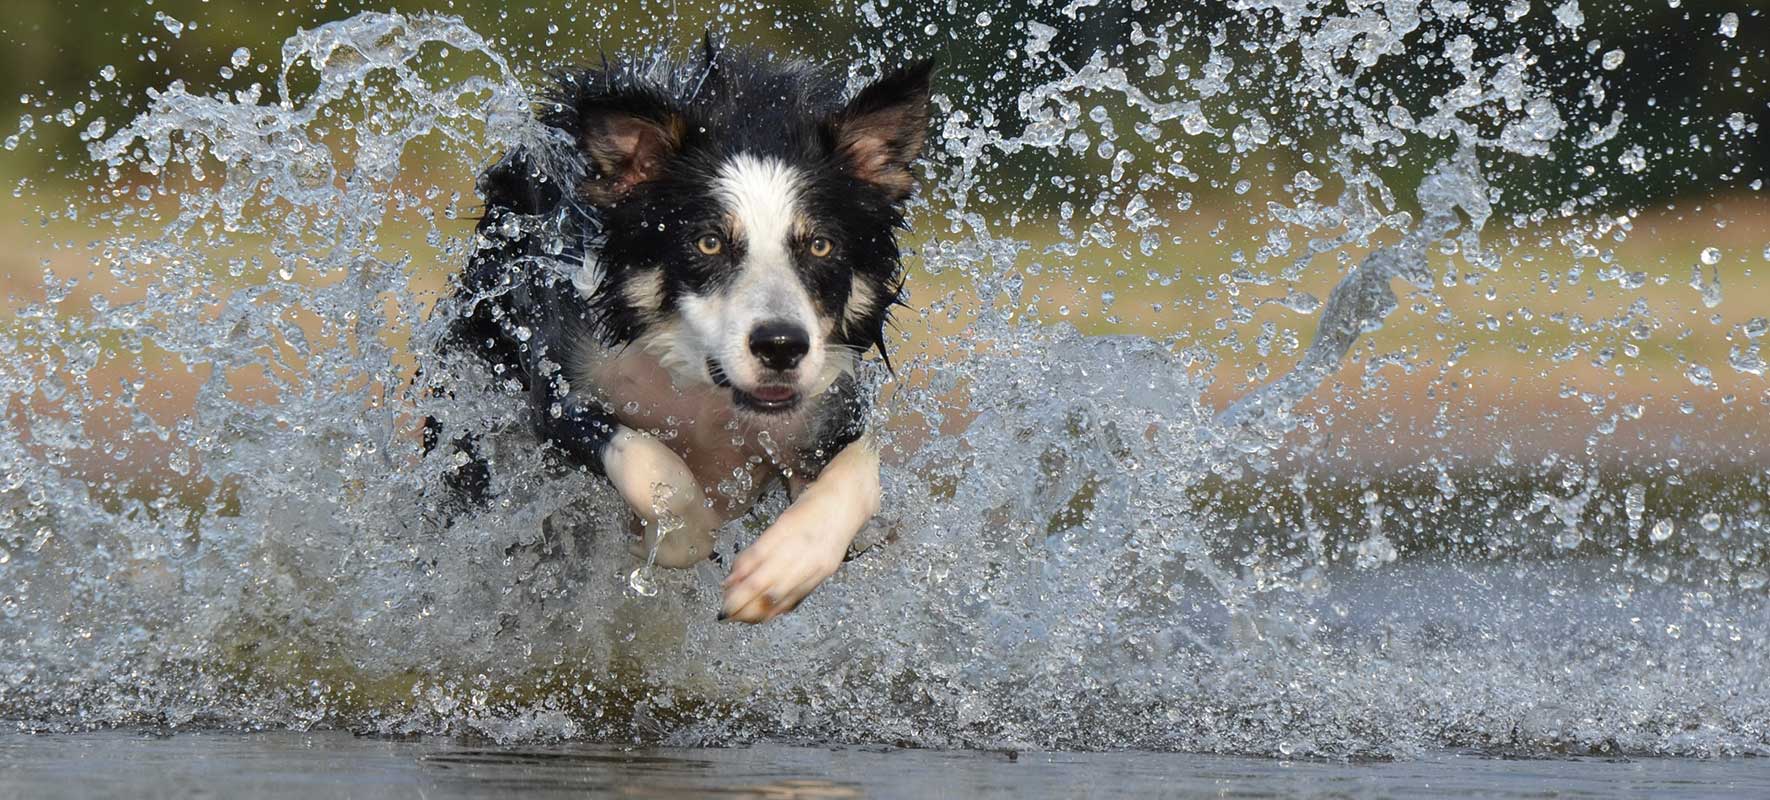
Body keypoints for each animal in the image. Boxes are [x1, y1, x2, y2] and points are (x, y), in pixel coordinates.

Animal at [426, 42, 934, 626]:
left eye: (821, 245)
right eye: (708, 242)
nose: (781, 346)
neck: (702, 388)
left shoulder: (828, 407)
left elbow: (861, 472)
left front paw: (782, 568)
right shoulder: (559, 387)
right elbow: (653, 464)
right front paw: (679, 535)